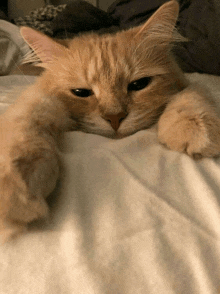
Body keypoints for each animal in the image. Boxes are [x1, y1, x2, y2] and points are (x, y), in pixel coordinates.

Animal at [0, 0, 220, 241]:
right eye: (81, 92)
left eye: (139, 84)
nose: (115, 118)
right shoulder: (38, 97)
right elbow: (24, 122)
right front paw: (16, 186)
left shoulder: (187, 82)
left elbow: (193, 94)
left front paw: (192, 127)